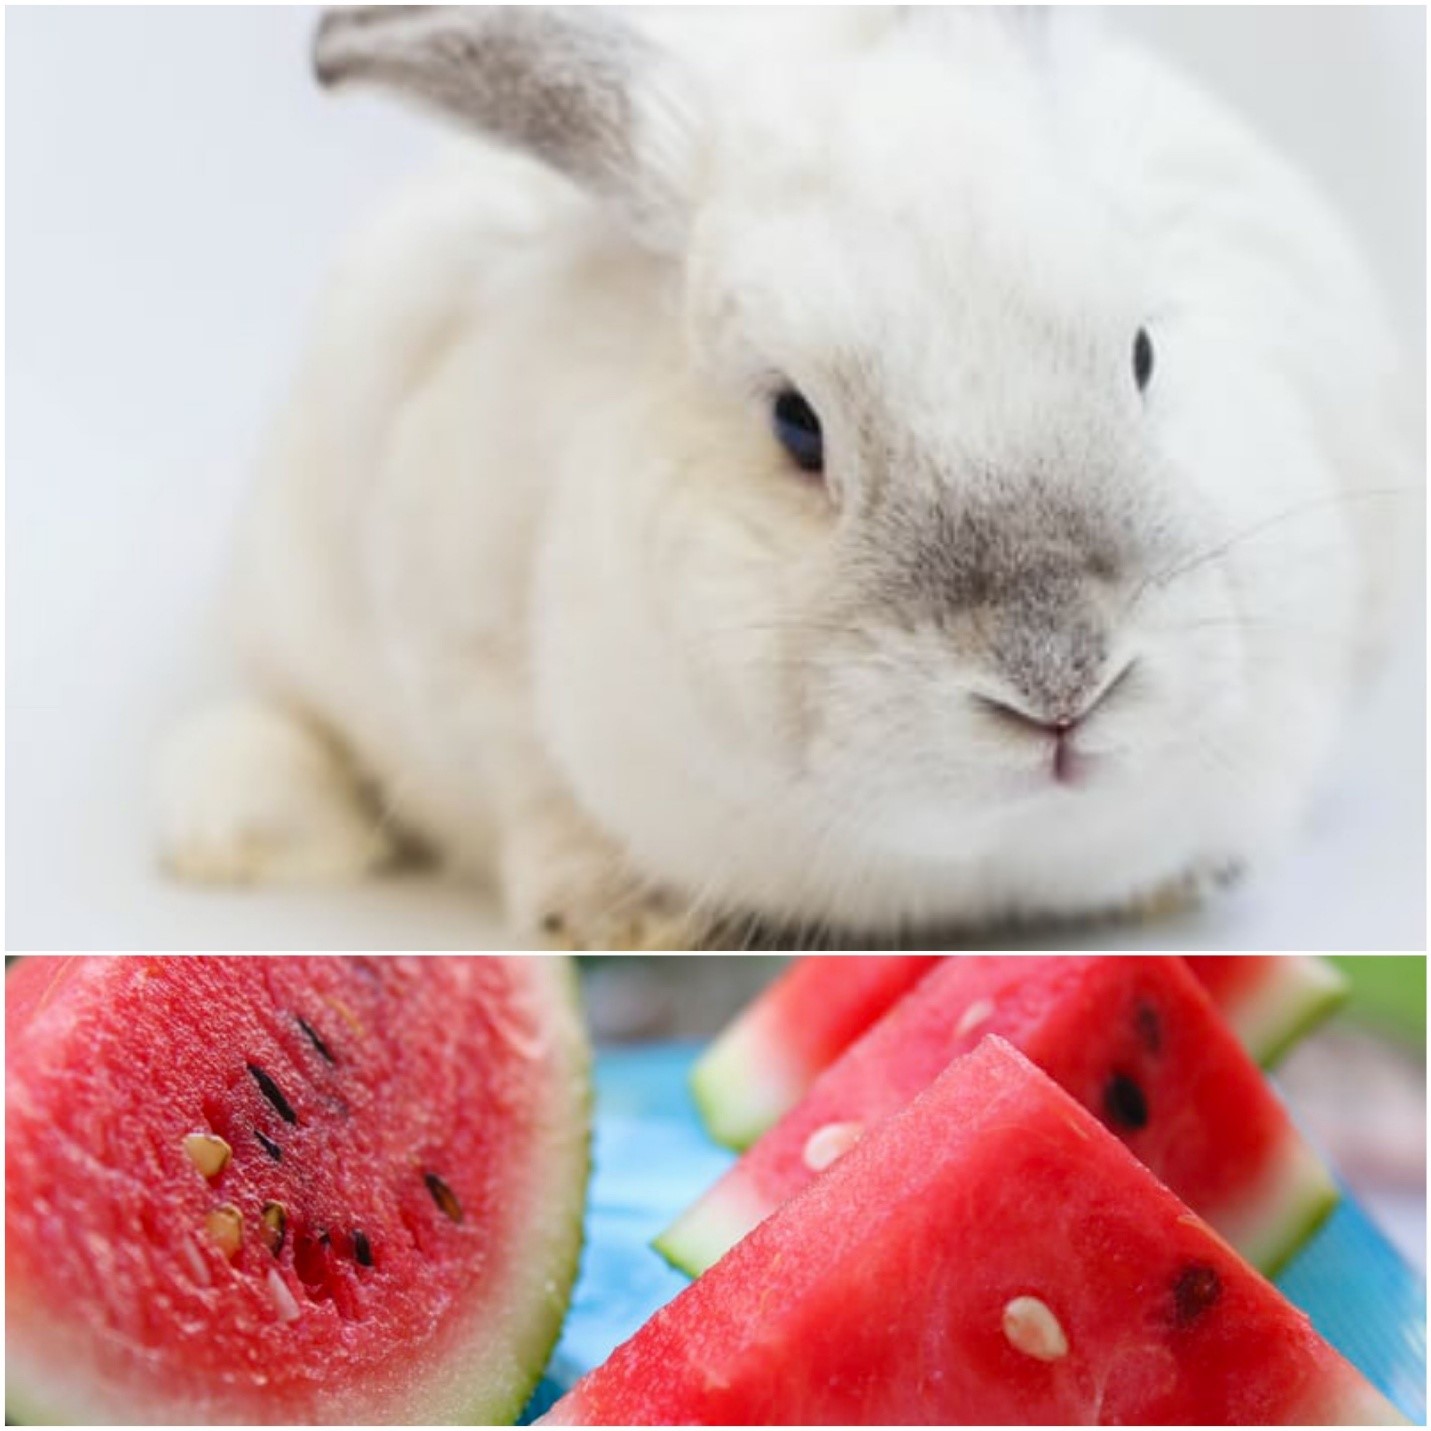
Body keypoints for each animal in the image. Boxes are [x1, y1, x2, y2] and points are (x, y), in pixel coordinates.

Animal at [157, 7, 1418, 948]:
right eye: (796, 425)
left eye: (1145, 354)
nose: (1061, 682)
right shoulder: (462, 651)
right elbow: (536, 791)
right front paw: (623, 917)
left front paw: (1184, 879)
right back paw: (241, 834)